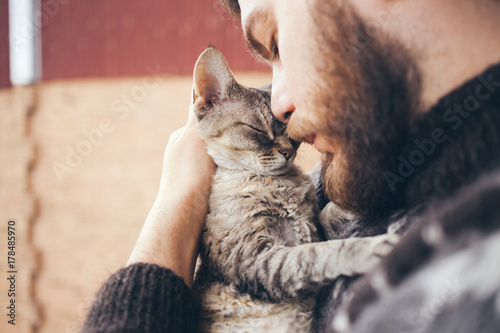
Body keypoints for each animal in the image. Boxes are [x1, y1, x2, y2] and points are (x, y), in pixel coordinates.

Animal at [191, 48, 398, 330]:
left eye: (291, 133)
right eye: (257, 129)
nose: (288, 151)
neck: (280, 185)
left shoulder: (311, 228)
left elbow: (325, 215)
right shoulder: (257, 259)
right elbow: (314, 255)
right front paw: (371, 247)